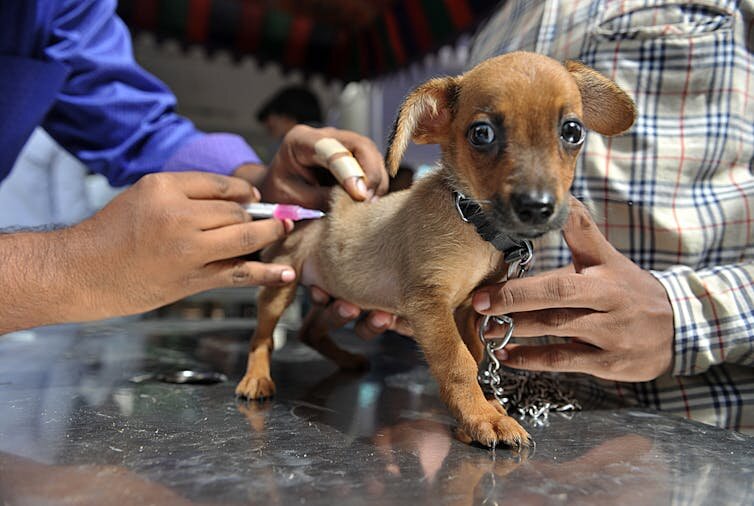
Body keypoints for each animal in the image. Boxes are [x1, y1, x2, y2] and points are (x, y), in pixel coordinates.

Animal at [236, 51, 636, 446]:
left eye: (572, 131)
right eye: (481, 134)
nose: (536, 206)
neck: (473, 225)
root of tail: (324, 207)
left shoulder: (468, 310)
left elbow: (476, 356)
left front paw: (483, 407)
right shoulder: (430, 304)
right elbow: (458, 362)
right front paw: (482, 417)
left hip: (340, 296)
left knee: (309, 331)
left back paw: (348, 360)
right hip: (281, 284)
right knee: (262, 337)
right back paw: (256, 378)